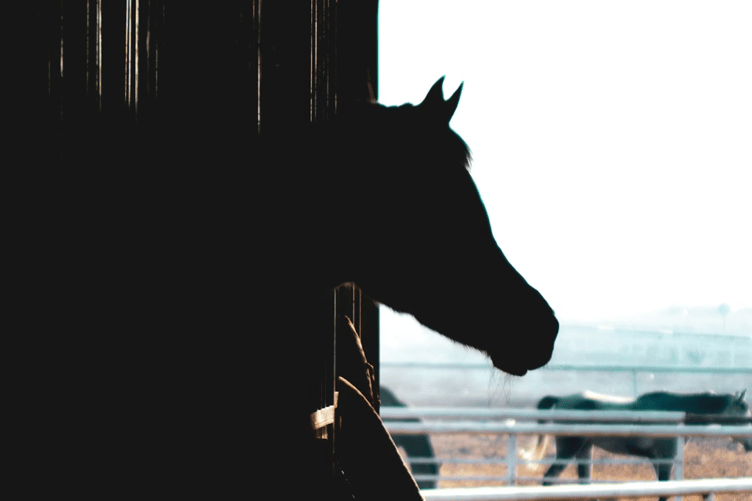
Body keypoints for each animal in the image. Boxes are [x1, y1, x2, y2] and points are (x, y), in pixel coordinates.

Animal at [529, 390, 751, 501]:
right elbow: (663, 491)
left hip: (584, 449)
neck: (677, 413)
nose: (749, 444)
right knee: (548, 479)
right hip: (569, 449)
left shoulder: (658, 460)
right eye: (743, 413)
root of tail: (562, 399)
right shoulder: (665, 460)